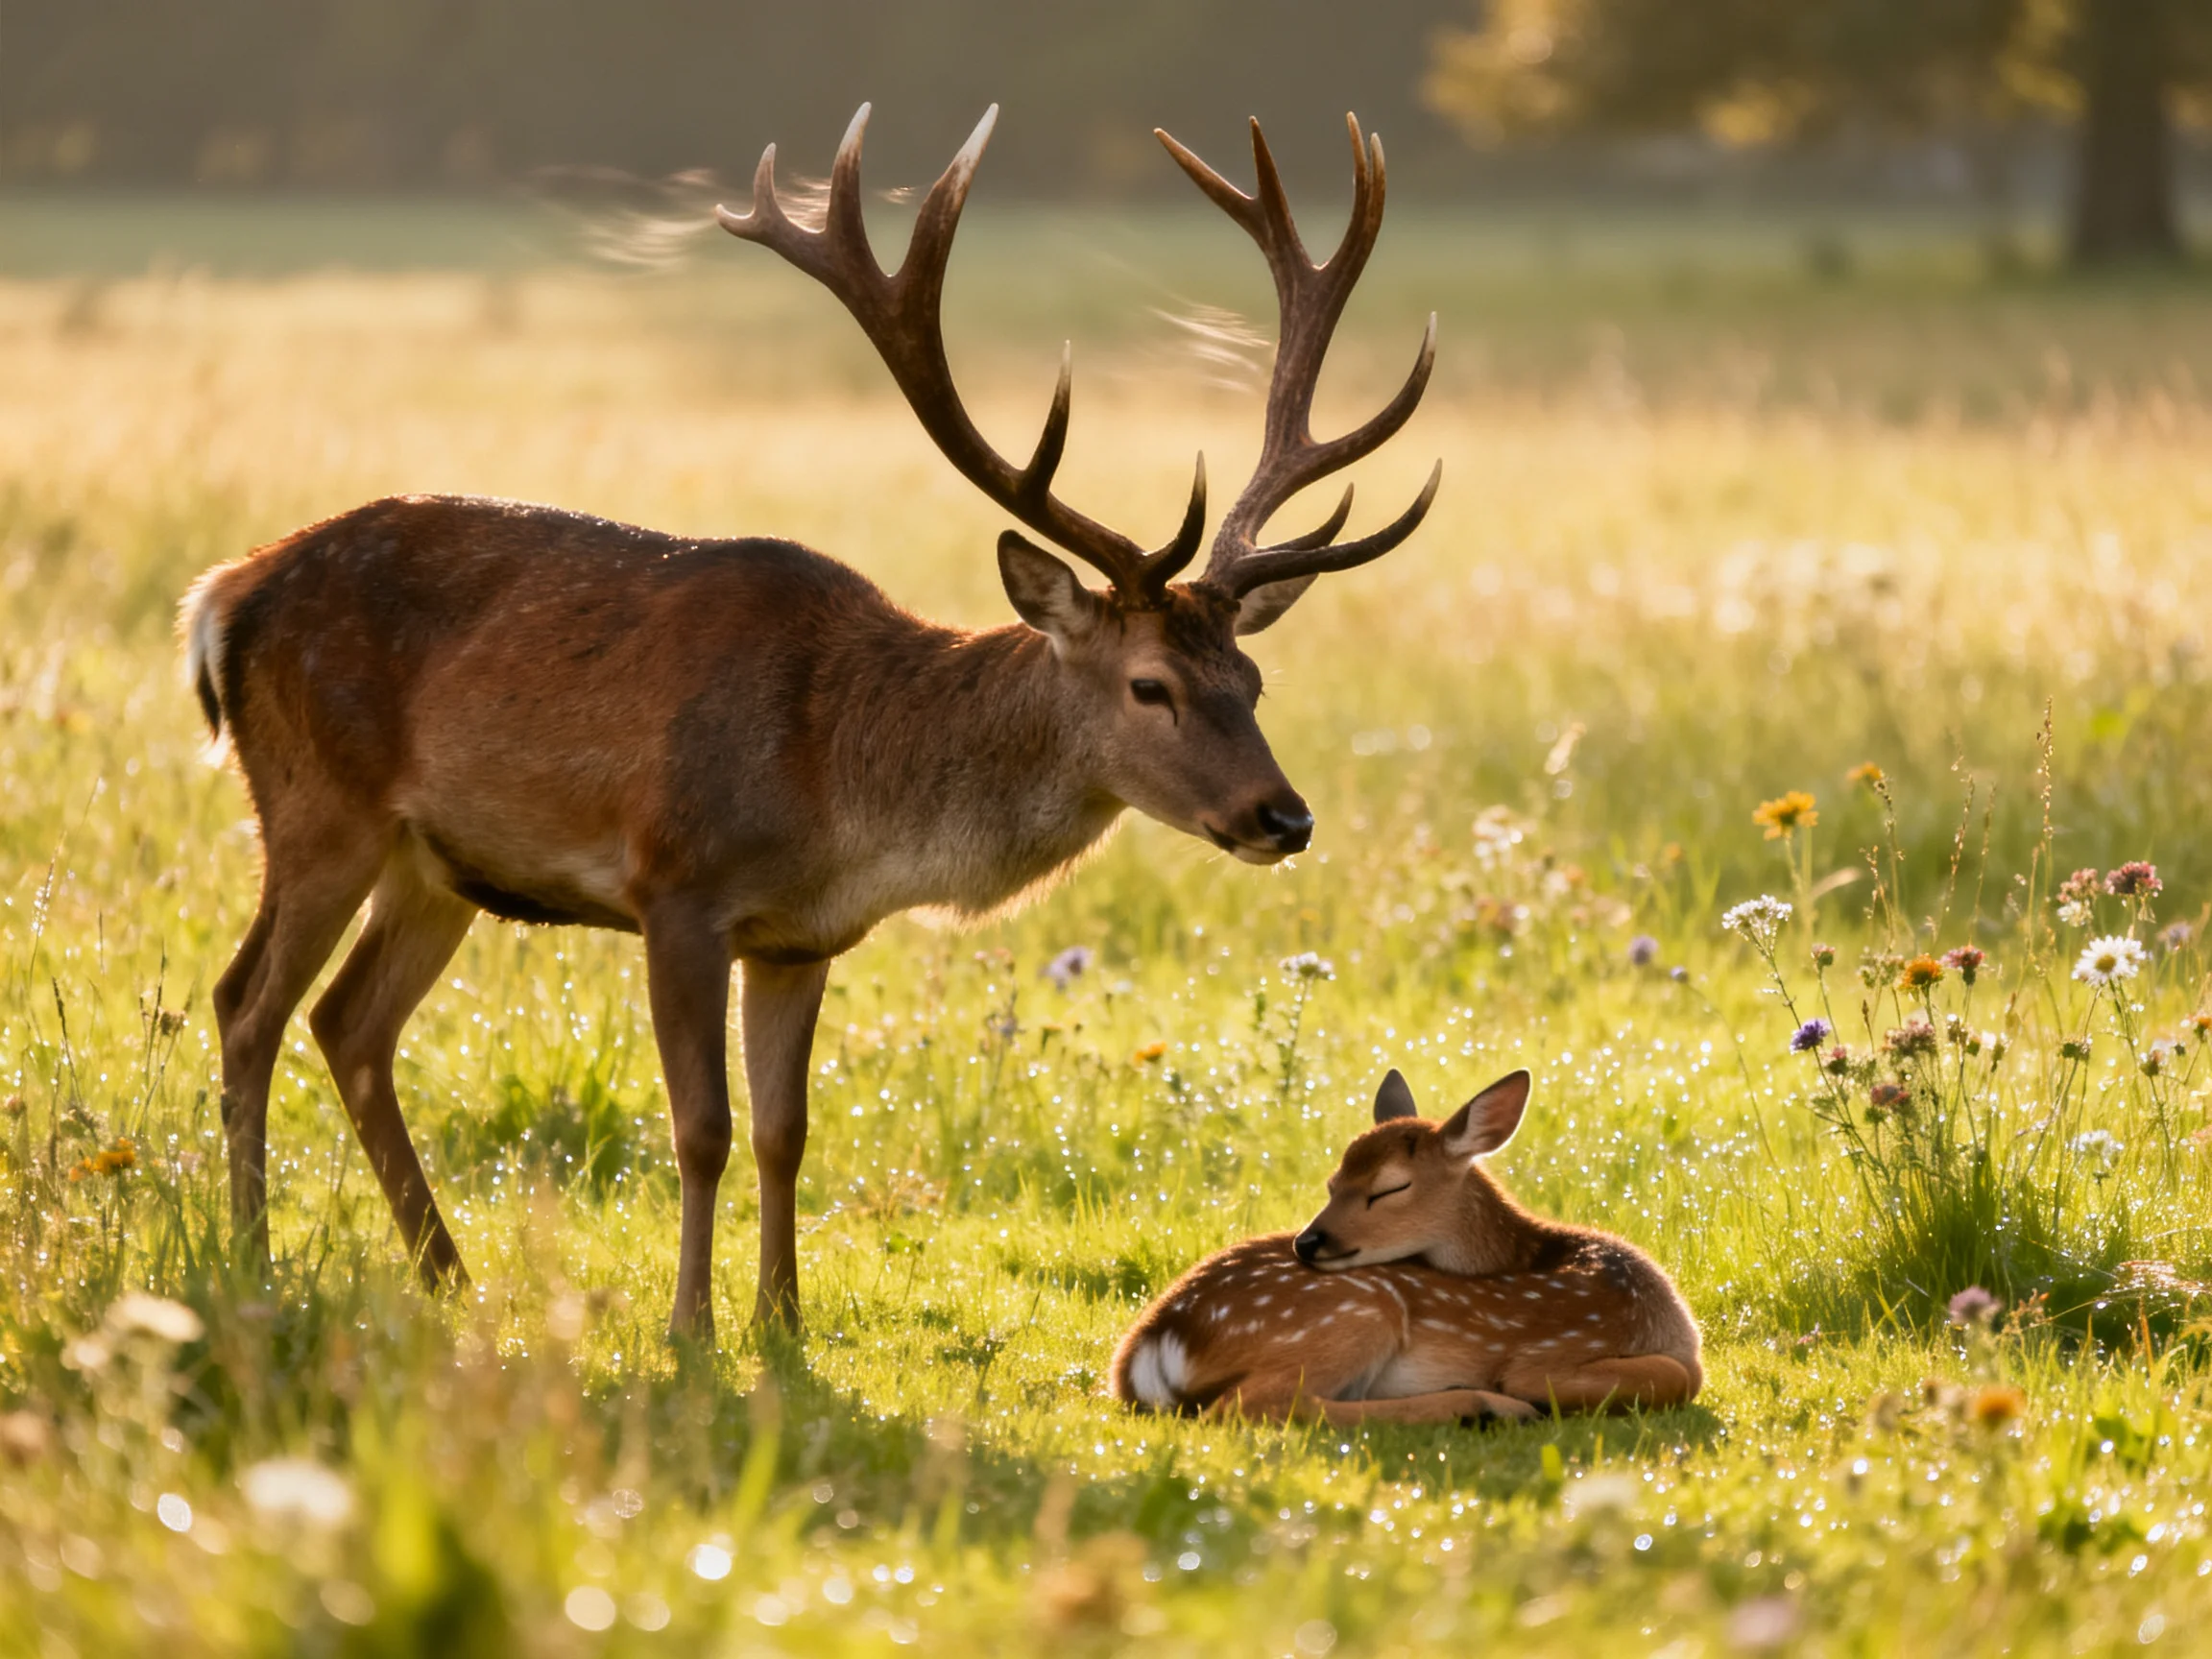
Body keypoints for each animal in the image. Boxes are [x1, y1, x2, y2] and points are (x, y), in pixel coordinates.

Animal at [178, 104, 1441, 1339]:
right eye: (1149, 686)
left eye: (1253, 680)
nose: (1284, 817)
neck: (838, 786)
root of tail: (225, 593)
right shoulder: (674, 886)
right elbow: (702, 1128)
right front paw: (691, 1330)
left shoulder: (800, 938)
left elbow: (787, 1133)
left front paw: (782, 1323)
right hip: (315, 802)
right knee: (247, 1003)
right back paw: (251, 1254)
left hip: (436, 863)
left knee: (350, 1022)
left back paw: (448, 1274)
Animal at [1110, 1068, 1702, 1424]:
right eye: (1333, 1183)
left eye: (1387, 1188)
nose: (1309, 1241)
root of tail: (1152, 1343)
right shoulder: (1550, 1356)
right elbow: (1679, 1377)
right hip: (1358, 1311)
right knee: (1253, 1407)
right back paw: (1483, 1408)